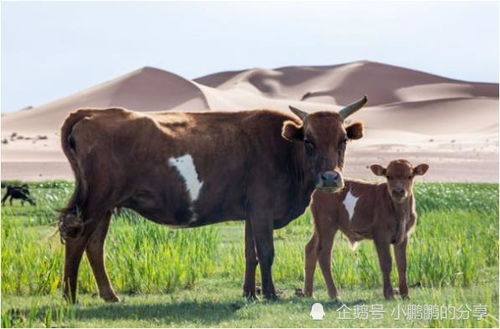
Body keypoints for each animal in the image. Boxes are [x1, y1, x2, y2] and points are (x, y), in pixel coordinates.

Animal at [57, 95, 368, 302]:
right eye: (309, 141)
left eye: (343, 140)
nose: (330, 178)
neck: (284, 149)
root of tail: (92, 112)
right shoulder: (262, 210)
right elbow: (266, 252)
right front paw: (270, 294)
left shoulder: (250, 212)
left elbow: (250, 254)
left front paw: (249, 293)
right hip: (96, 201)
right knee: (78, 240)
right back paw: (70, 296)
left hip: (105, 206)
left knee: (95, 245)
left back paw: (109, 295)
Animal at [302, 159, 428, 300]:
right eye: (388, 176)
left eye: (409, 176)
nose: (398, 191)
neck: (400, 212)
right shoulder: (381, 235)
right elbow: (386, 263)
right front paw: (389, 294)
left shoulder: (403, 236)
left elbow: (402, 264)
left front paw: (405, 294)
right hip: (327, 224)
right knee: (323, 253)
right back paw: (334, 294)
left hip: (318, 226)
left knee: (310, 249)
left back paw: (308, 293)